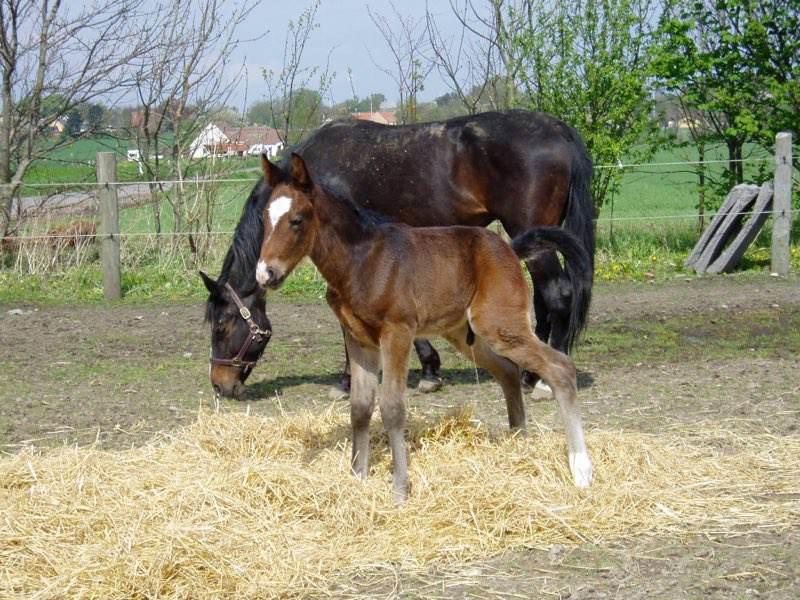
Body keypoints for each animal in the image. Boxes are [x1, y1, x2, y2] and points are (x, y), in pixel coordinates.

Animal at [203, 110, 592, 400]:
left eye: (221, 325)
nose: (220, 385)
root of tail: (558, 130)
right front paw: (430, 371)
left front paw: (347, 381)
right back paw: (529, 374)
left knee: (558, 295)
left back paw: (544, 383)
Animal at [256, 155, 592, 502]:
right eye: (264, 218)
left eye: (297, 220)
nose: (265, 274)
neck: (360, 262)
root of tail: (510, 249)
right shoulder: (358, 340)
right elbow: (360, 407)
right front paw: (357, 478)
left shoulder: (397, 333)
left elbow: (392, 407)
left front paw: (400, 489)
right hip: (464, 334)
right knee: (508, 371)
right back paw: (518, 444)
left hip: (500, 324)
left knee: (560, 367)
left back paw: (580, 469)